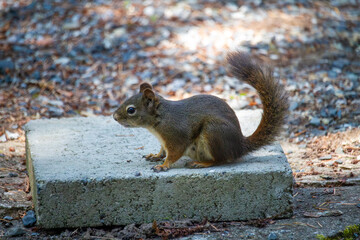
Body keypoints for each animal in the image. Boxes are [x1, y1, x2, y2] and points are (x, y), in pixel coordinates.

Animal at [114, 51, 288, 172]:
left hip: (213, 132)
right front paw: (155, 156)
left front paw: (163, 165)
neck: (159, 119)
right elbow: (163, 150)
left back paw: (201, 163)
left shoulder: (175, 136)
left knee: (221, 160)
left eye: (131, 110)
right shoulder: (164, 141)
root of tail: (239, 145)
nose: (114, 117)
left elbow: (174, 153)